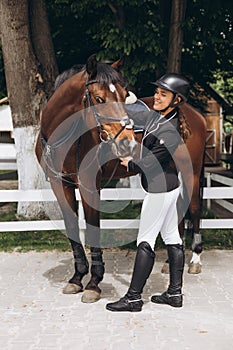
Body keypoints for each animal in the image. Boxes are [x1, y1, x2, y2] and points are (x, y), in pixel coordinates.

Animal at [35, 55, 207, 304]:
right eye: (98, 98)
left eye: (124, 94)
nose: (127, 142)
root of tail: (194, 114)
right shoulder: (61, 186)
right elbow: (72, 229)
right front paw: (76, 278)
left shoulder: (89, 185)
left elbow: (93, 228)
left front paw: (93, 284)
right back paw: (169, 261)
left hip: (190, 171)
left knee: (193, 209)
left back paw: (194, 260)